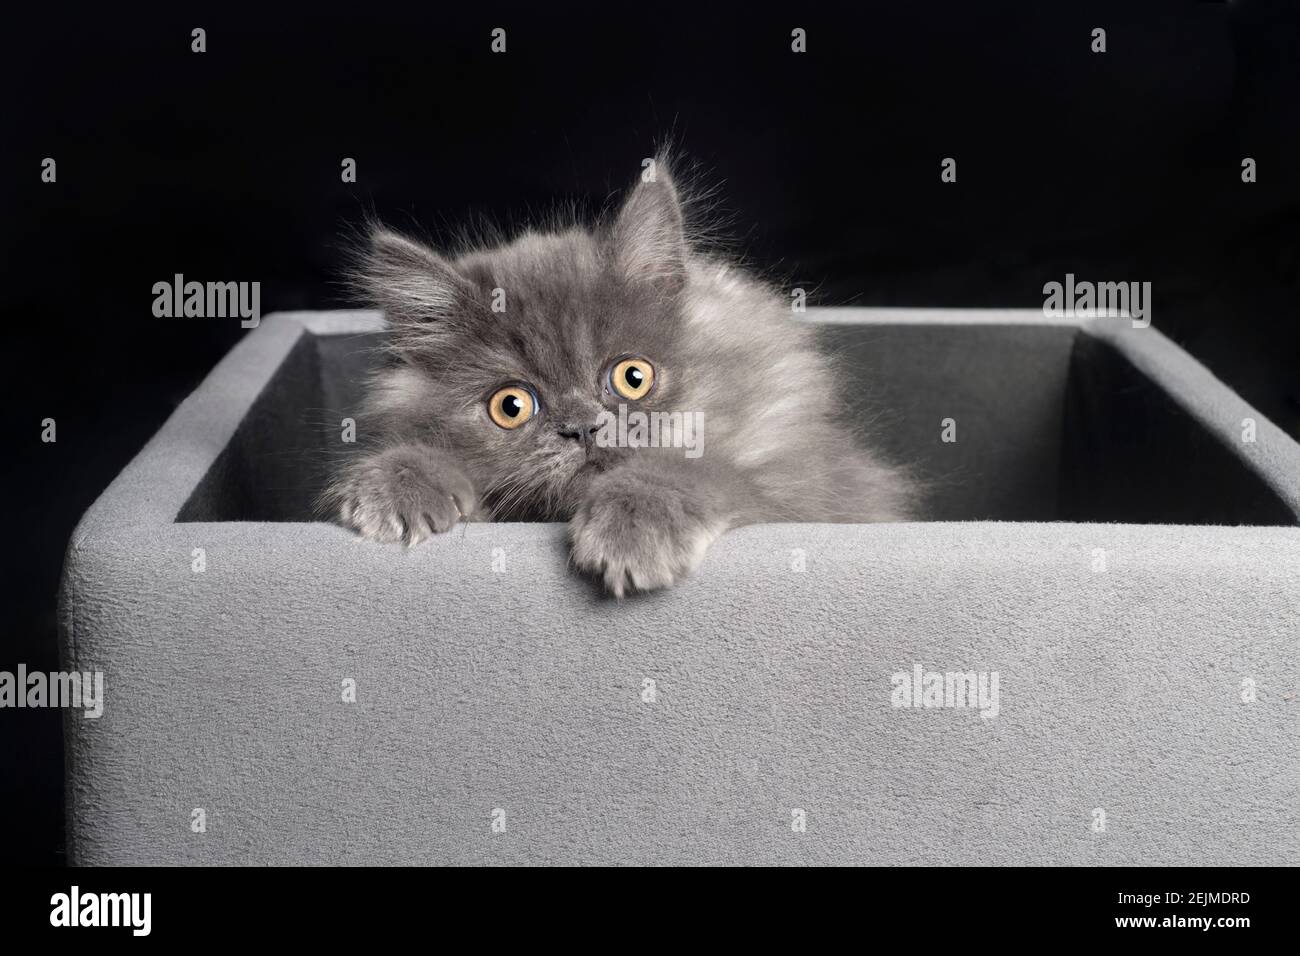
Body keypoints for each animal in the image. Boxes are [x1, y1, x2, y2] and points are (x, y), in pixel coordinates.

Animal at [325, 158, 915, 595]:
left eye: (633, 377)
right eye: (511, 406)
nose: (584, 428)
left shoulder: (806, 493)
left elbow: (704, 469)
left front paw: (634, 521)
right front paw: (401, 480)